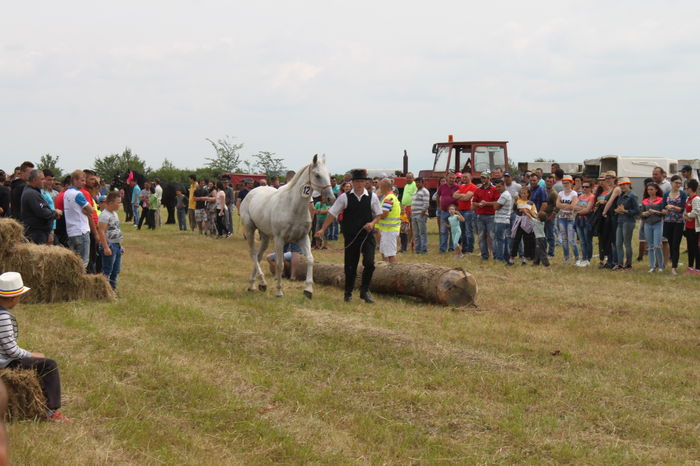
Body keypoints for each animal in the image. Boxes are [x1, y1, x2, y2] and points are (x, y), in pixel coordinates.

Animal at [240, 154, 335, 299]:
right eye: (317, 175)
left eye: (328, 175)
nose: (331, 198)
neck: (293, 207)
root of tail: (251, 193)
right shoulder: (279, 239)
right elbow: (280, 264)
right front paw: (279, 291)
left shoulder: (303, 238)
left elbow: (310, 259)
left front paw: (308, 290)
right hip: (250, 229)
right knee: (253, 254)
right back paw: (260, 282)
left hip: (265, 236)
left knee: (259, 255)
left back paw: (255, 284)